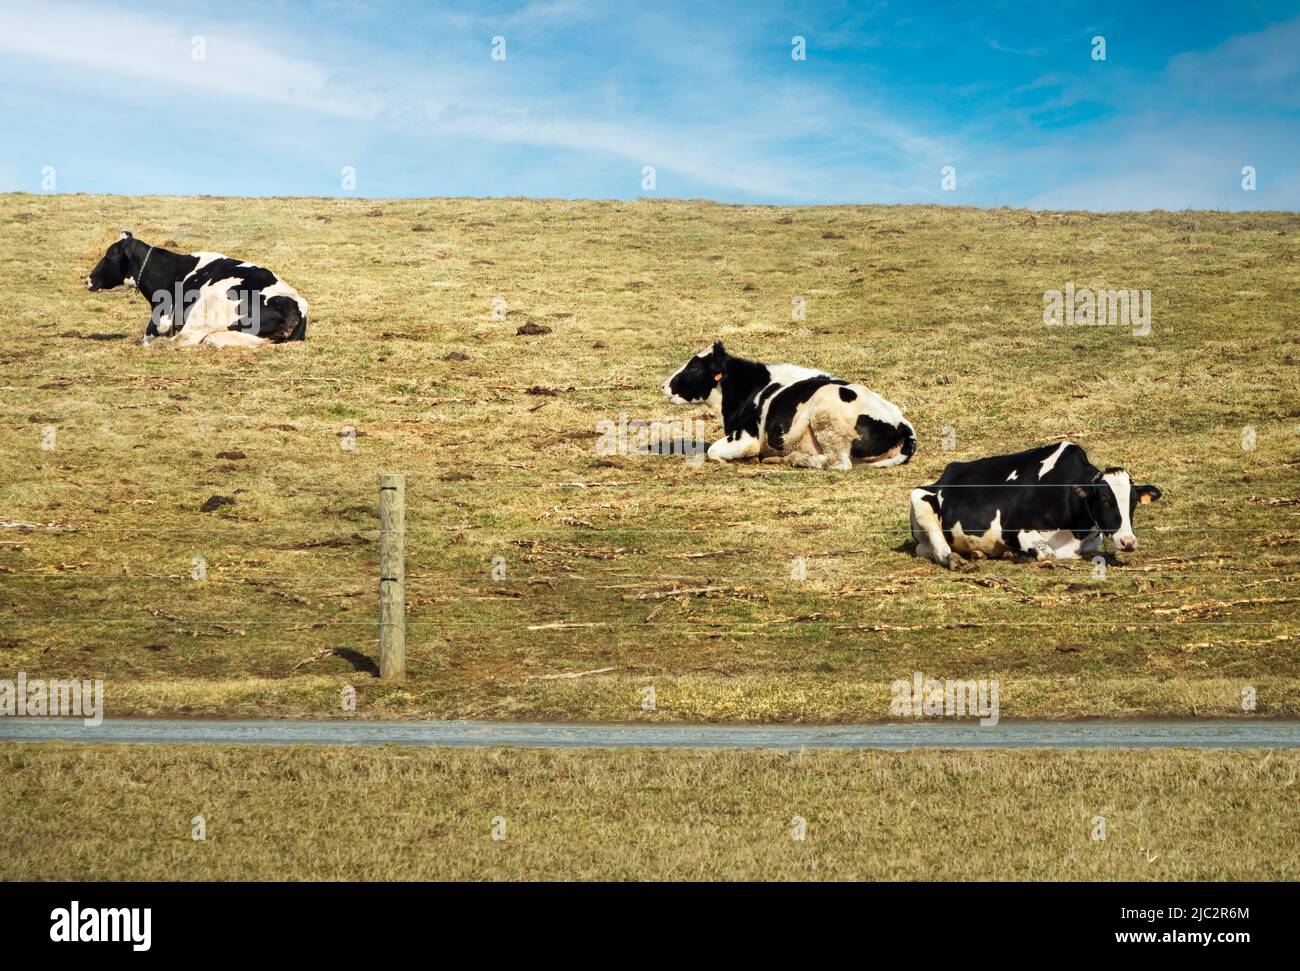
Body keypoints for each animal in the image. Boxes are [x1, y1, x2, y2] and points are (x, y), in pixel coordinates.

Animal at [86, 232, 309, 348]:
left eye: (108, 256)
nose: (88, 280)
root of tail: (293, 306)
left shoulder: (160, 321)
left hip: (205, 310)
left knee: (183, 339)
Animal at [660, 343, 915, 467]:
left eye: (694, 366)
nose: (663, 386)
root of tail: (901, 422)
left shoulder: (746, 437)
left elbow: (713, 451)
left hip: (826, 417)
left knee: (838, 463)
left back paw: (793, 459)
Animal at [909, 441, 1164, 569]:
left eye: (1133, 503)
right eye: (1104, 500)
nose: (1127, 541)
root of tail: (946, 473)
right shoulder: (1011, 527)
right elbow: (1047, 553)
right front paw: (1018, 555)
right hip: (919, 498)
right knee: (934, 545)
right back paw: (954, 559)